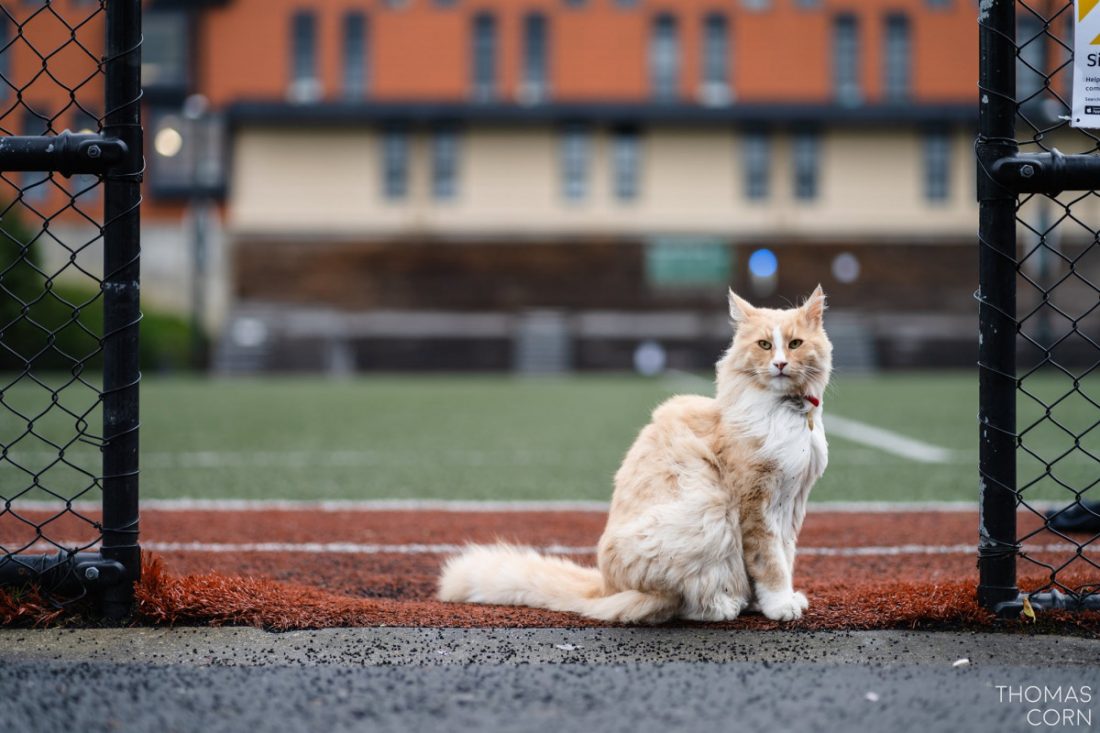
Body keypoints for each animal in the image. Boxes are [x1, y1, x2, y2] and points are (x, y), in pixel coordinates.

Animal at [433, 286, 827, 620]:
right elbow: (769, 563)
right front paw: (779, 606)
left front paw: (776, 602)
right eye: (764, 345)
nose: (779, 364)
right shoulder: (755, 505)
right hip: (708, 513)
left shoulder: (792, 505)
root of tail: (604, 587)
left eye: (794, 344)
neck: (787, 413)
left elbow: (785, 556)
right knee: (677, 604)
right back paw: (723, 606)